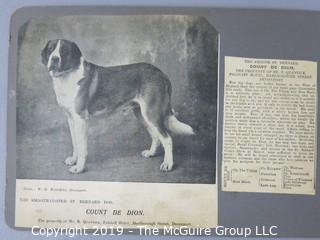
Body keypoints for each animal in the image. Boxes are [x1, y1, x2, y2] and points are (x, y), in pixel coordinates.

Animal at [41, 39, 194, 174]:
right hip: (142, 114)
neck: (67, 76)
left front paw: (79, 167)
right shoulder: (71, 119)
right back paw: (151, 153)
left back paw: (168, 164)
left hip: (151, 113)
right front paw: (73, 159)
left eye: (64, 51)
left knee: (167, 139)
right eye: (50, 50)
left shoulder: (80, 120)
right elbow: (75, 143)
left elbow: (82, 146)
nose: (54, 59)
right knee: (156, 135)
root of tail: (161, 73)